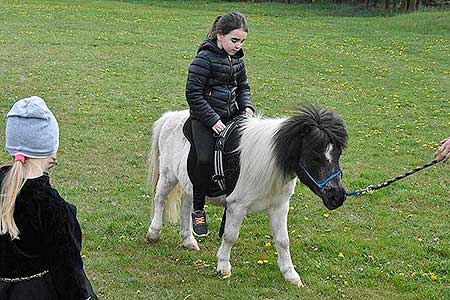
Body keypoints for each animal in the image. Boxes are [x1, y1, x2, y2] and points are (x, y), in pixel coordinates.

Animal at [148, 105, 348, 286]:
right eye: (315, 157)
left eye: (338, 154)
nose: (337, 197)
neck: (268, 161)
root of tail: (170, 117)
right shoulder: (237, 207)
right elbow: (230, 236)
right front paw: (223, 266)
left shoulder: (280, 206)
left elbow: (283, 241)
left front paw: (290, 275)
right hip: (168, 176)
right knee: (160, 200)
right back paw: (154, 233)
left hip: (190, 183)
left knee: (186, 205)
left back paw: (188, 240)